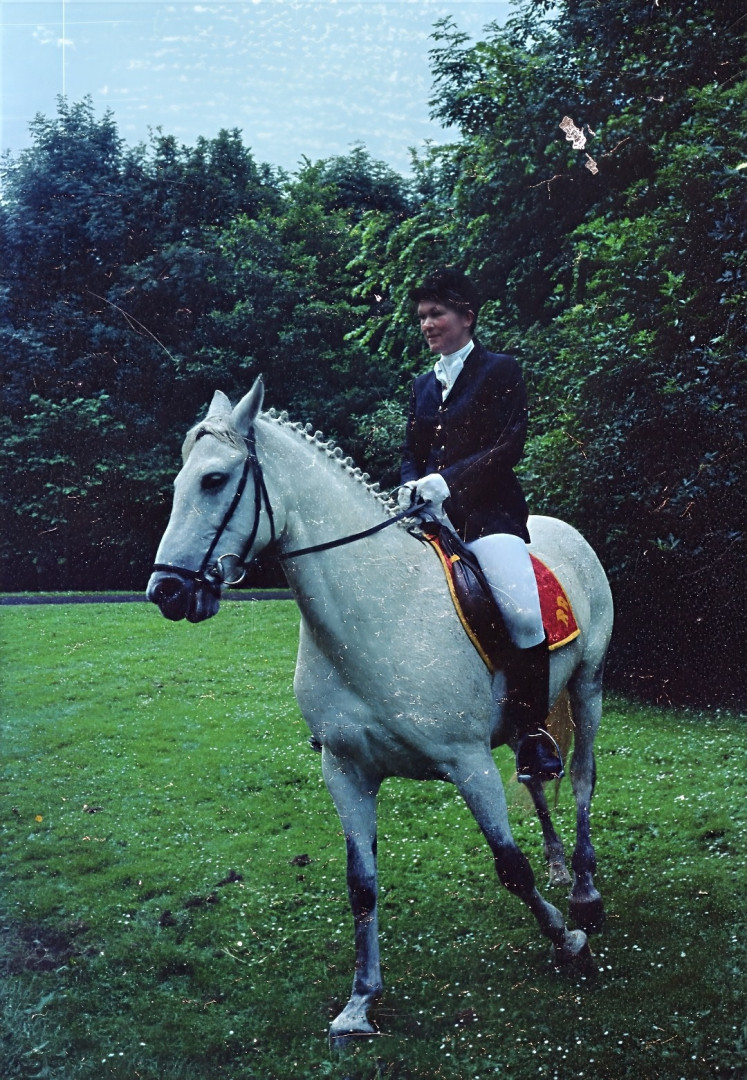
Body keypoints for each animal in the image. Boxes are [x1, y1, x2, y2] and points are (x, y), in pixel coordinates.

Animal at [146, 378, 613, 1043]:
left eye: (213, 480)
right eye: (181, 481)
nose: (167, 591)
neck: (378, 610)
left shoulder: (468, 763)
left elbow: (510, 867)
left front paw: (567, 942)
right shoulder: (346, 770)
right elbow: (361, 886)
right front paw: (360, 1001)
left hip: (588, 687)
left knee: (580, 781)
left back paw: (584, 891)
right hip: (521, 724)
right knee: (535, 772)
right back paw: (558, 864)